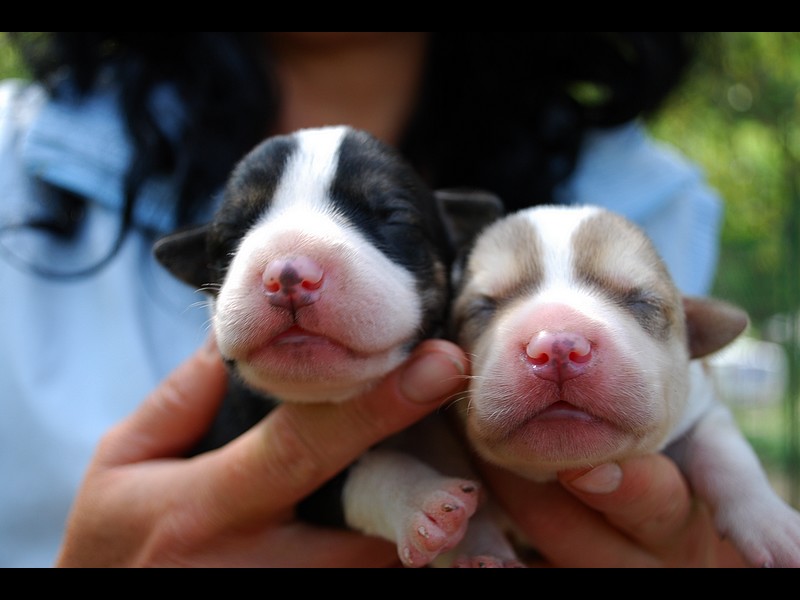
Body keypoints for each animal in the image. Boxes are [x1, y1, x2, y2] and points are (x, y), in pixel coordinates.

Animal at [154, 125, 504, 568]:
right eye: (230, 235)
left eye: (393, 215)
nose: (288, 274)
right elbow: (358, 474)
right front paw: (422, 502)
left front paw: (483, 547)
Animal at [444, 205, 800, 568]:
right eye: (482, 307)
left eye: (642, 302)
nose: (557, 347)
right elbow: (472, 503)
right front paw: (485, 550)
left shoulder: (703, 406)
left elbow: (724, 452)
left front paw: (773, 525)